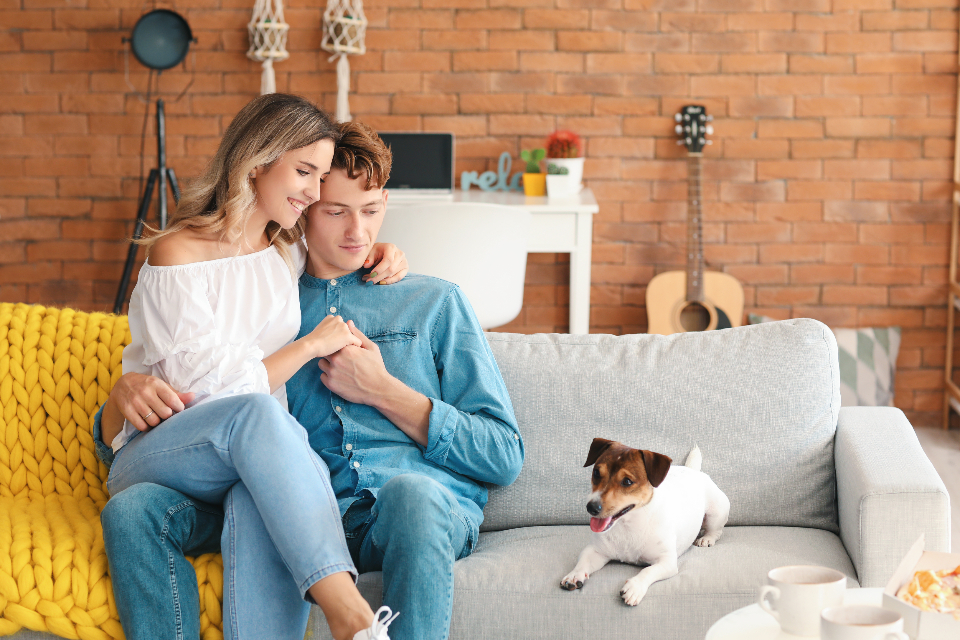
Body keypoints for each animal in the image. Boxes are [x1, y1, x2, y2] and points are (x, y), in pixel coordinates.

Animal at [560, 438, 732, 608]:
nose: (592, 507)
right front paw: (574, 575)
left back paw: (706, 539)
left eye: (627, 481)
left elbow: (648, 571)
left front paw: (634, 587)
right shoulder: (595, 551)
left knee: (716, 530)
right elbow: (583, 562)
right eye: (596, 472)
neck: (628, 525)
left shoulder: (667, 562)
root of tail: (693, 470)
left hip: (716, 512)